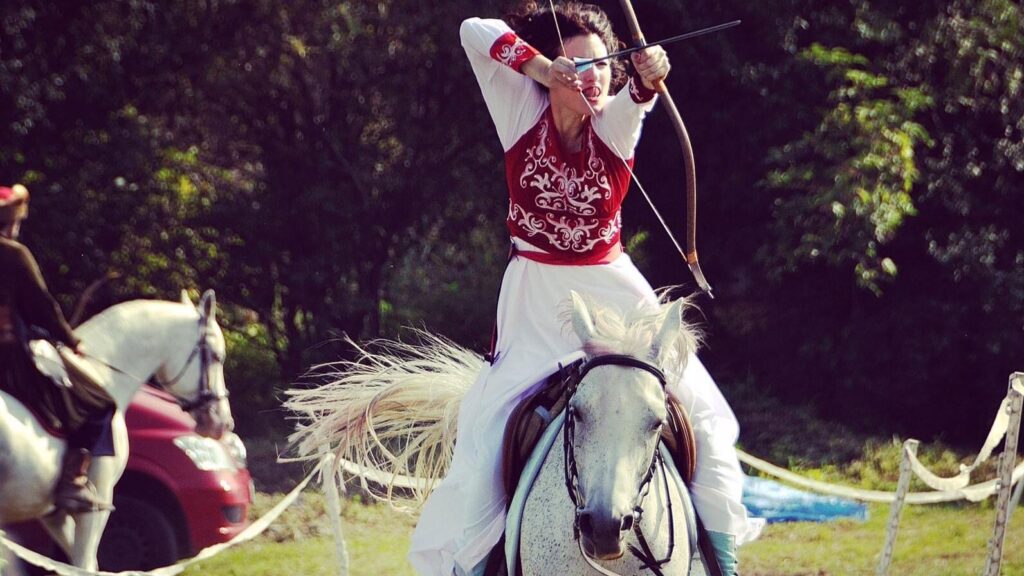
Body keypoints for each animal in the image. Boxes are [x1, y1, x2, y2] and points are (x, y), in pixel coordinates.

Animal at [0, 289, 234, 565]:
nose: (223, 423)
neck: (100, 374)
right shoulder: (95, 506)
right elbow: (86, 564)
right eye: (217, 357)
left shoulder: (55, 515)